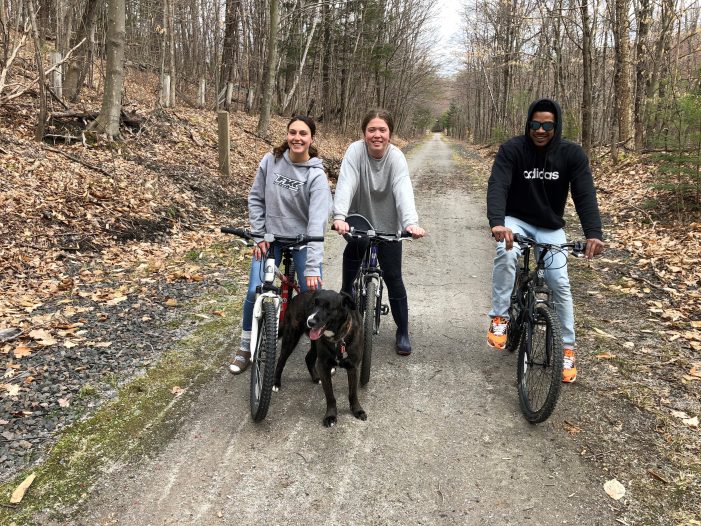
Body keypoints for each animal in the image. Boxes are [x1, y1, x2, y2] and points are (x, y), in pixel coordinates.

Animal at [272, 290, 364, 426]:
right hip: (291, 337)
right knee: (281, 361)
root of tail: (295, 297)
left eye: (328, 307)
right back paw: (276, 383)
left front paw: (357, 410)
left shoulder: (353, 367)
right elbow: (330, 396)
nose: (309, 322)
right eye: (314, 304)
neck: (337, 338)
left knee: (308, 358)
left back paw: (315, 378)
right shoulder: (323, 366)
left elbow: (353, 393)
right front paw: (330, 416)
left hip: (314, 345)